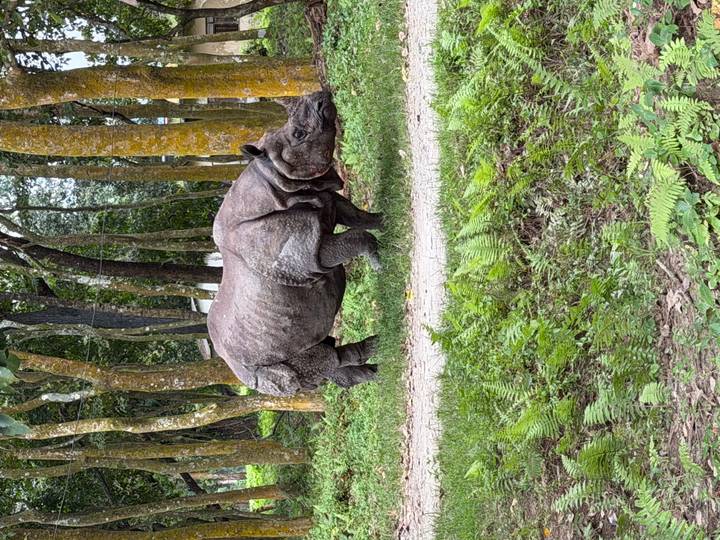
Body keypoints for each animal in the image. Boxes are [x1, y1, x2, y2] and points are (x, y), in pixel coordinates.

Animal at [208, 91, 383, 397]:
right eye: (299, 133)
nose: (320, 96)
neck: (275, 179)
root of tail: (233, 369)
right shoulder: (307, 251)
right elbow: (356, 238)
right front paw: (379, 263)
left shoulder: (324, 198)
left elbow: (359, 217)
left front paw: (387, 221)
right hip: (262, 371)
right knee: (318, 361)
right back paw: (381, 347)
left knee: (321, 358)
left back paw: (380, 370)